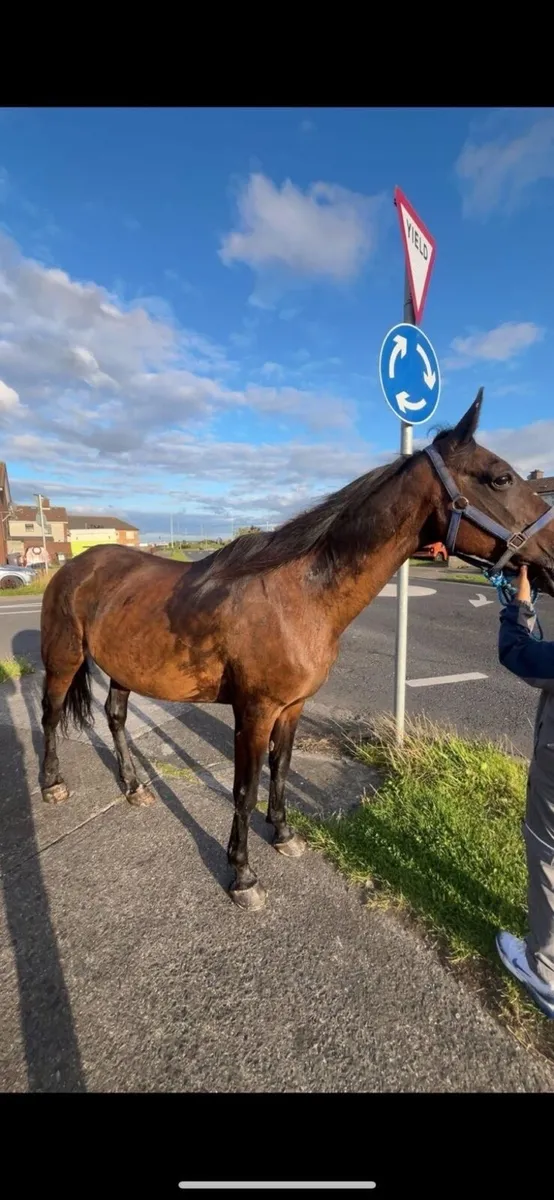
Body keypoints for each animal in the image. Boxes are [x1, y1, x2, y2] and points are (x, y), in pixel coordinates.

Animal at [39, 390, 554, 911]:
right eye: (501, 477)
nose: (552, 558)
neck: (299, 597)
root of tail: (75, 567)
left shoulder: (292, 707)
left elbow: (281, 768)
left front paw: (283, 834)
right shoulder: (255, 710)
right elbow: (243, 790)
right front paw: (242, 875)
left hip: (124, 668)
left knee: (115, 717)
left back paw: (132, 787)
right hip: (63, 659)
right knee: (51, 714)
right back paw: (52, 784)